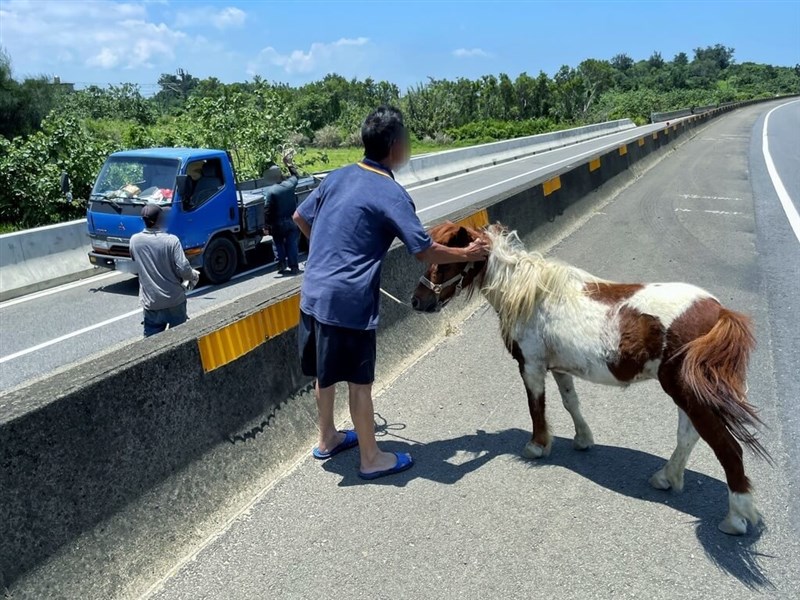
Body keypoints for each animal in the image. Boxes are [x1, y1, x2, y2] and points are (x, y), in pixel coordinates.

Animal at [412, 223, 768, 536]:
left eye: (443, 260)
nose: (417, 301)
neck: (530, 293)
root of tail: (719, 312)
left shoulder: (531, 366)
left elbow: (536, 407)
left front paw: (537, 446)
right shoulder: (558, 368)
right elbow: (571, 403)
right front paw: (583, 439)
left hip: (685, 392)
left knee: (728, 449)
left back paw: (735, 519)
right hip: (686, 393)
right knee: (688, 436)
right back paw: (667, 478)